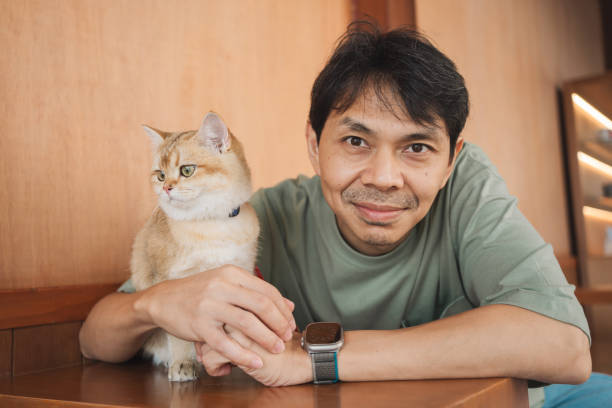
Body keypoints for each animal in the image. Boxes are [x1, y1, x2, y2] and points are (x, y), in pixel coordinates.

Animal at [130, 112, 260, 382]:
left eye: (187, 170)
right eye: (160, 175)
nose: (166, 188)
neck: (211, 224)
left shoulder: (241, 272)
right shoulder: (174, 288)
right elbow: (180, 336)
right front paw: (183, 363)